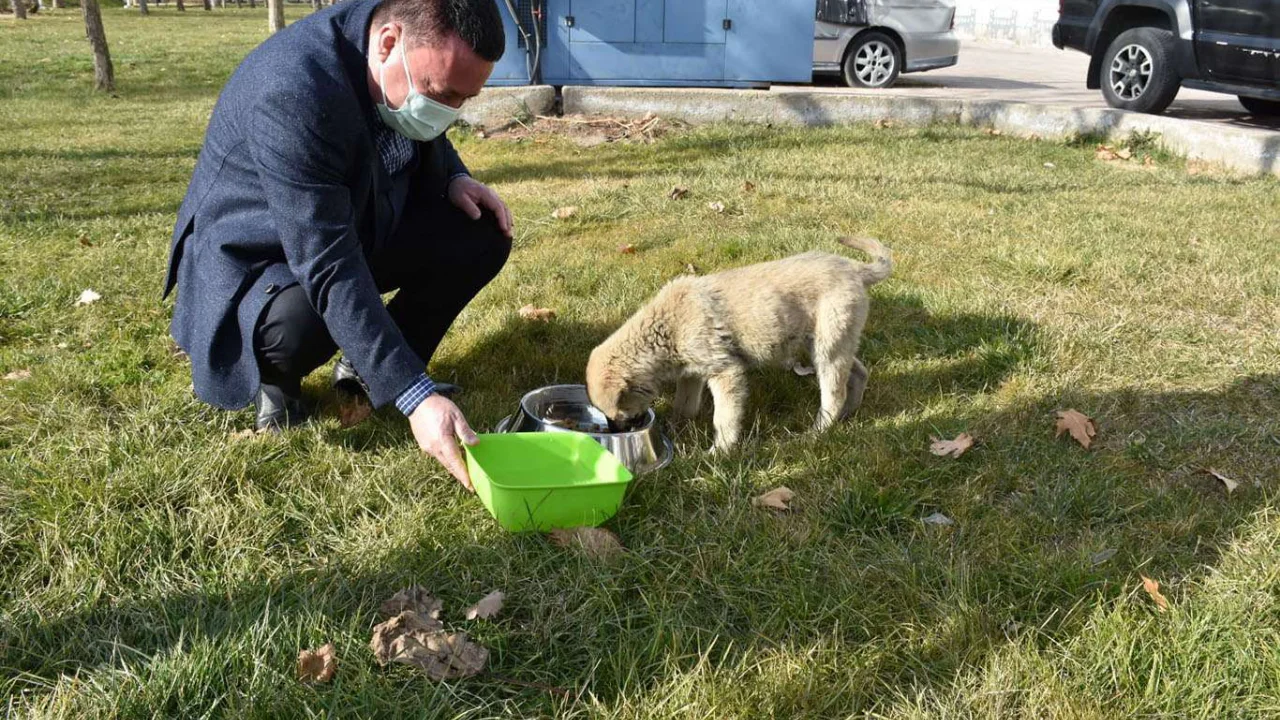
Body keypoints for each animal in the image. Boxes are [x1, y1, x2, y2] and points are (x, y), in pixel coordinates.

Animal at [586, 235, 890, 448]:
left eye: (619, 413)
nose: (617, 431)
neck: (666, 328)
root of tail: (855, 270)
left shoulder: (726, 373)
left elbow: (724, 417)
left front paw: (720, 450)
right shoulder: (692, 374)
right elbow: (684, 404)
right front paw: (677, 427)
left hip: (828, 346)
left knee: (833, 393)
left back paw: (818, 431)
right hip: (828, 341)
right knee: (858, 373)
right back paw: (849, 412)